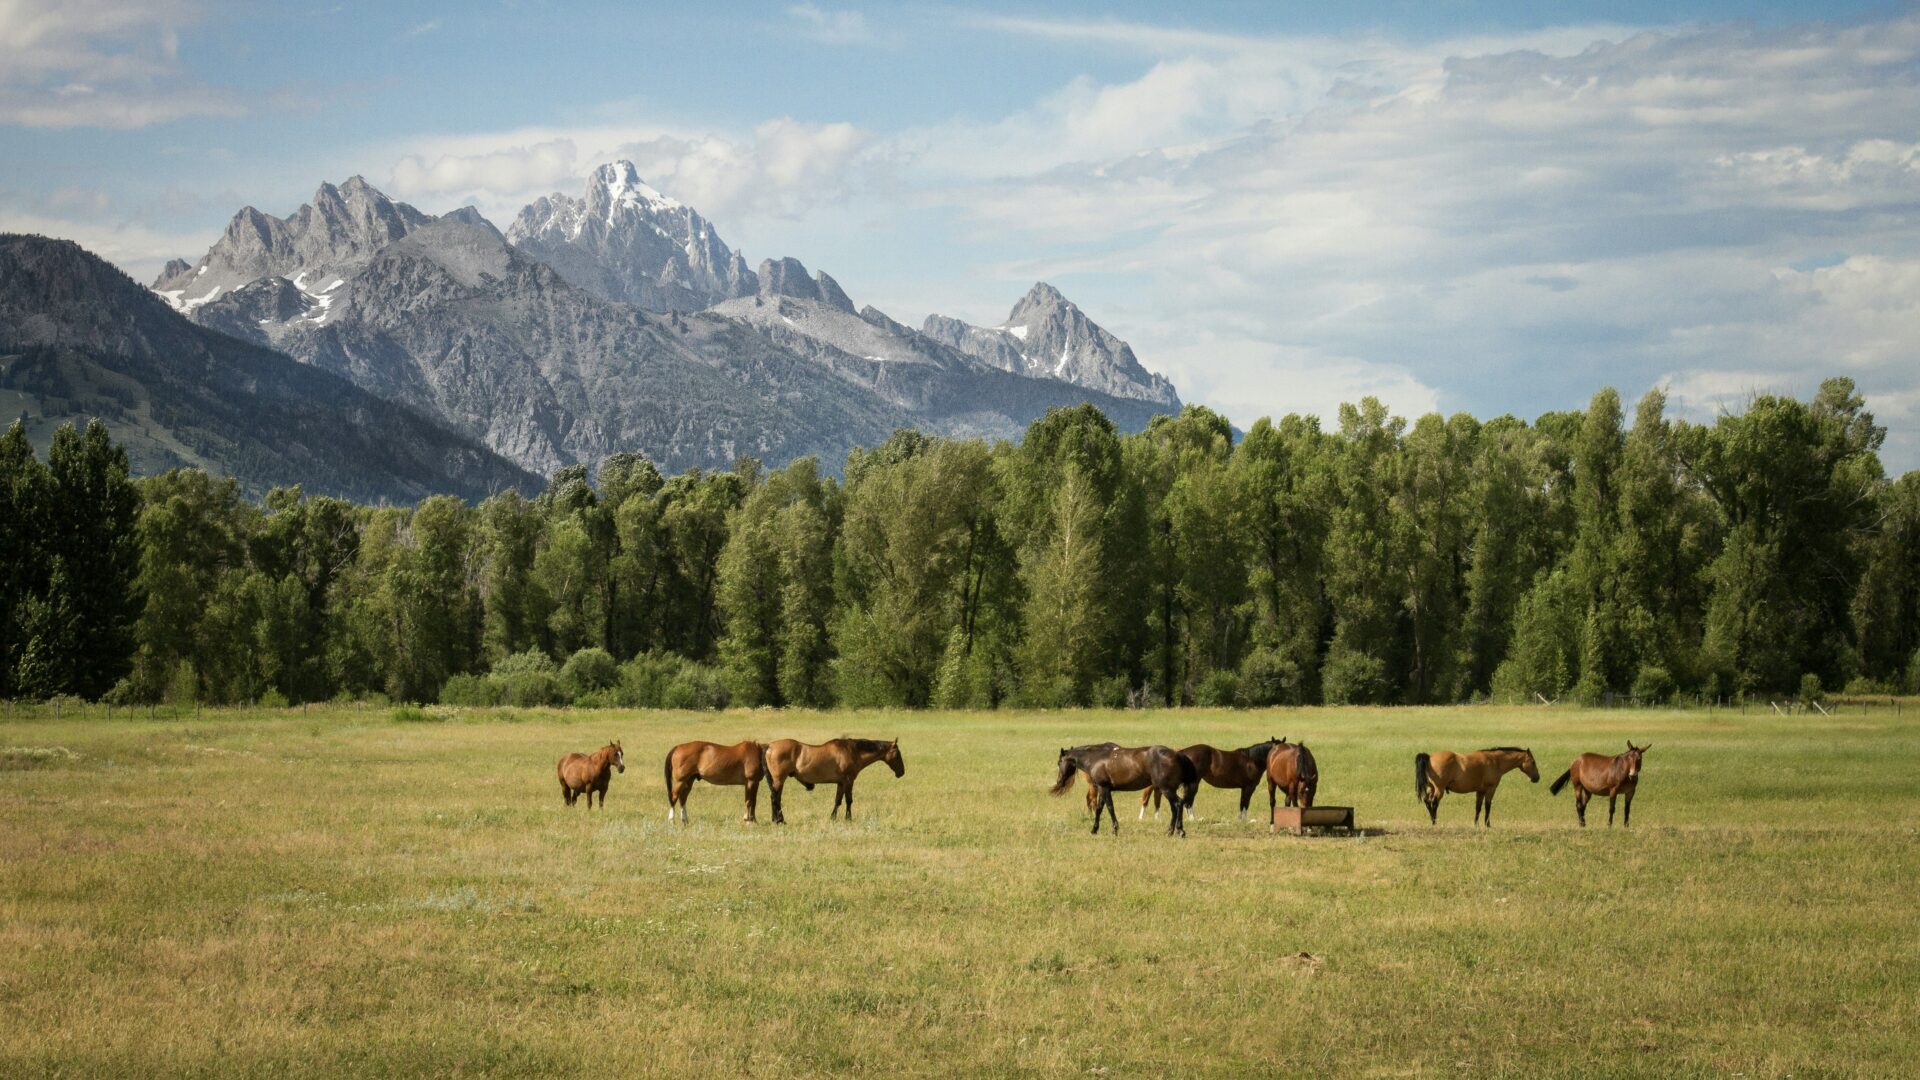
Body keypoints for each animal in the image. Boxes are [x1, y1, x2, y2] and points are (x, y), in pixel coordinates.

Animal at [764, 737, 904, 823]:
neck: (853, 752)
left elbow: (838, 801)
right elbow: (849, 800)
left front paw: (833, 818)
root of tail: (769, 746)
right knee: (775, 798)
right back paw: (780, 820)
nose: (902, 772)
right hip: (779, 780)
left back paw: (777, 819)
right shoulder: (848, 781)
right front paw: (848, 818)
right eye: (897, 754)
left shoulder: (841, 783)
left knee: (776, 798)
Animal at [1050, 744, 1198, 837]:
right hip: (1168, 790)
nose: (1059, 782)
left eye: (1059, 762)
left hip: (1166, 789)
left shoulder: (1104, 788)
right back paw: (1170, 831)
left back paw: (1179, 831)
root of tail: (1177, 754)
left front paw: (1115, 830)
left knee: (1178, 804)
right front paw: (1094, 830)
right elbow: (1099, 809)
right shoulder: (1103, 789)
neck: (1095, 759)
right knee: (1175, 807)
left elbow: (1110, 808)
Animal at [1139, 737, 1287, 822]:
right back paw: (1193, 819)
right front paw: (1243, 820)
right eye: (1277, 748)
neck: (1252, 760)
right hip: (1194, 783)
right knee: (1188, 801)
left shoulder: (1244, 788)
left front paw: (1240, 819)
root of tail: (1182, 753)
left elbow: (1242, 803)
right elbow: (1245, 803)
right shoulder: (1248, 787)